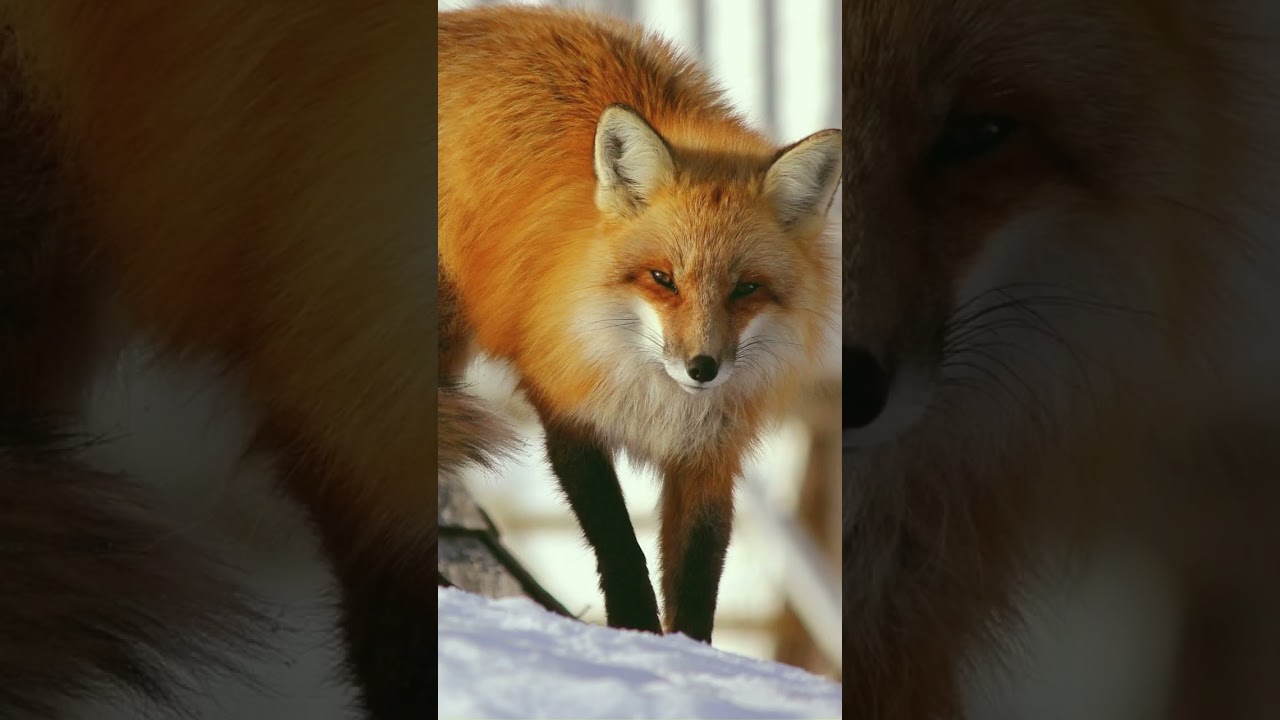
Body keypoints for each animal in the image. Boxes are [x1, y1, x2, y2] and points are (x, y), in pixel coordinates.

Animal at [438, 6, 841, 642]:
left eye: (746, 288)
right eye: (662, 278)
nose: (703, 368)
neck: (656, 399)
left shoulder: (711, 454)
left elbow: (700, 572)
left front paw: (690, 652)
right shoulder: (568, 404)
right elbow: (617, 540)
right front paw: (633, 632)